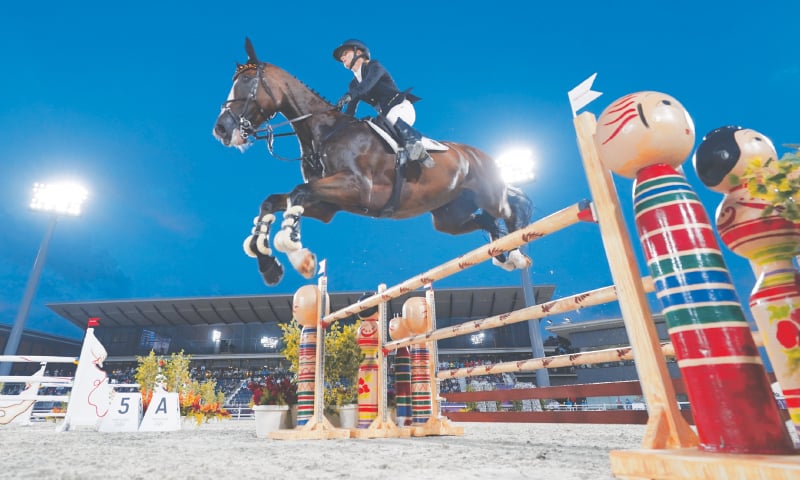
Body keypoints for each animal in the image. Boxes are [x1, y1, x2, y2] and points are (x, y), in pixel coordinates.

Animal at [212, 39, 532, 284]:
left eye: (247, 81)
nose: (221, 130)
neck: (324, 133)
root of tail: (480, 154)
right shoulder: (327, 204)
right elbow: (273, 201)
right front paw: (268, 265)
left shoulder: (359, 189)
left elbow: (296, 193)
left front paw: (299, 256)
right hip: (448, 217)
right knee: (485, 220)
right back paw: (505, 252)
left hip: (489, 195)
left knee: (511, 203)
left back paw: (518, 244)